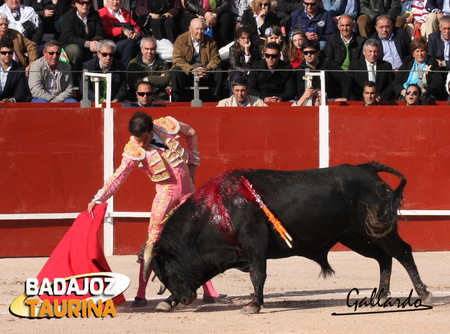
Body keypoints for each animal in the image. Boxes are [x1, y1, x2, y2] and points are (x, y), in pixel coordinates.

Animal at [150, 162, 432, 314]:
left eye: (167, 269)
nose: (184, 299)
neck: (217, 211)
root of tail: (368, 169)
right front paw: (166, 302)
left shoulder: (254, 245)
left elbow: (258, 275)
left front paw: (253, 305)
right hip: (358, 237)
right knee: (384, 258)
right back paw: (382, 296)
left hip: (378, 231)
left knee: (403, 252)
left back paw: (424, 294)